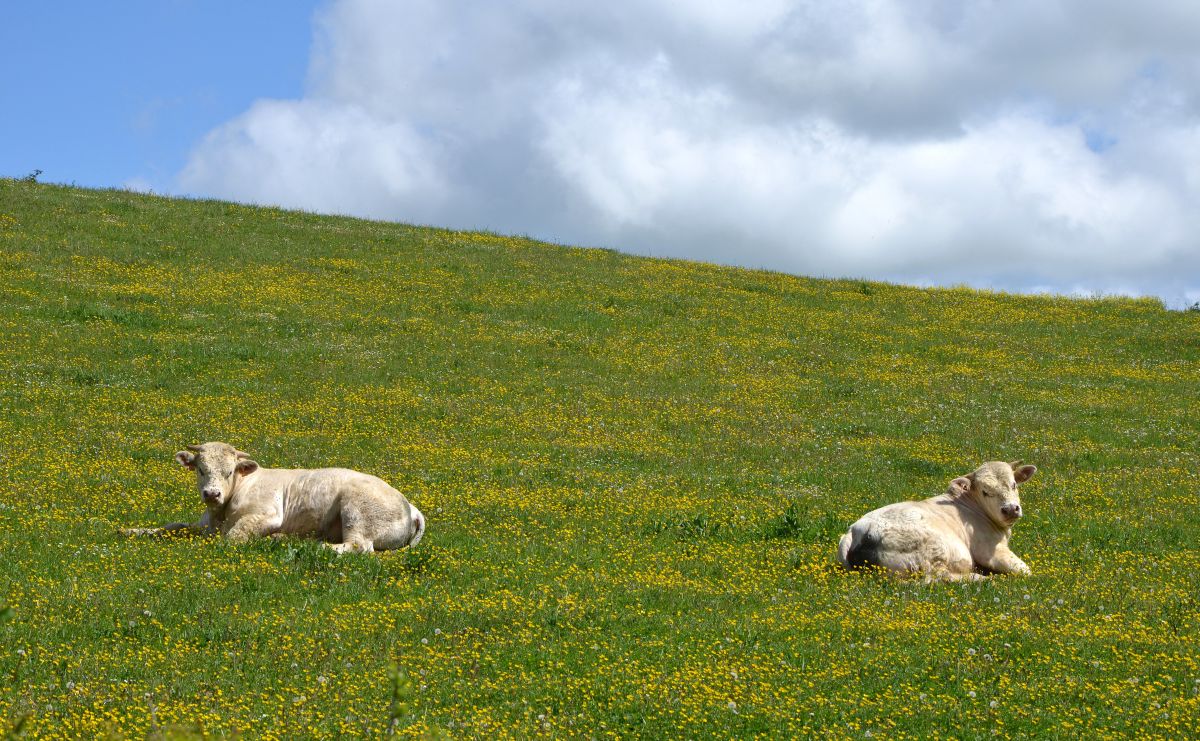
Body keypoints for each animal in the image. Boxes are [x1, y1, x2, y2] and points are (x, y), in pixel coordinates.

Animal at [125, 441, 427, 551]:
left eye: (229, 471)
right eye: (201, 469)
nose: (212, 493)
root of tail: (410, 506)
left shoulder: (266, 514)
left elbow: (232, 537)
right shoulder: (203, 525)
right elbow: (171, 526)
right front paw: (132, 530)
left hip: (356, 510)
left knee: (357, 547)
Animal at [840, 458, 1036, 580]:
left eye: (1014, 485)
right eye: (985, 492)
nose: (1010, 509)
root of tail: (854, 531)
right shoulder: (990, 551)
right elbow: (1027, 572)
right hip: (933, 552)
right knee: (940, 577)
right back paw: (981, 578)